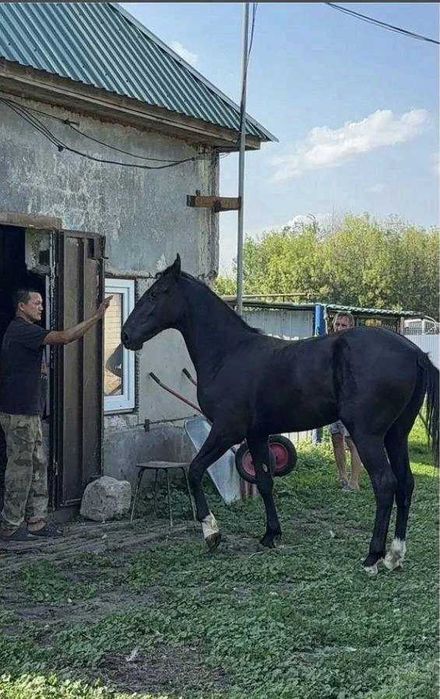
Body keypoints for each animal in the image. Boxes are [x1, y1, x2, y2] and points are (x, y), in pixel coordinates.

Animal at [122, 255, 438, 574]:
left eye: (155, 294)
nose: (126, 335)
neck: (229, 353)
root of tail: (414, 352)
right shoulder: (256, 434)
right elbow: (264, 482)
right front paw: (270, 535)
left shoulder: (226, 430)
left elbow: (196, 470)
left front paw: (212, 533)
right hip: (396, 435)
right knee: (406, 483)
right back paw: (395, 555)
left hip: (367, 435)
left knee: (385, 484)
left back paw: (373, 556)